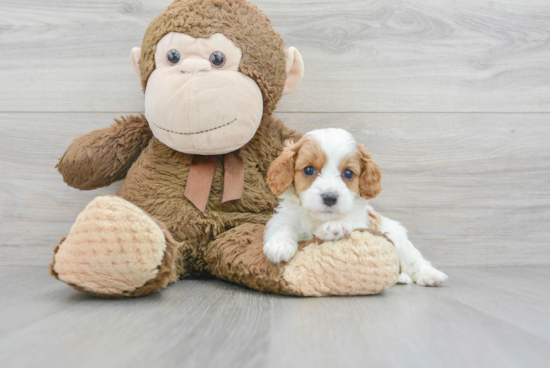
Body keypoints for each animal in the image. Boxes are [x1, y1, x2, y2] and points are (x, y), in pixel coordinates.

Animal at [266, 129, 450, 288]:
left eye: (348, 173)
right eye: (309, 170)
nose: (330, 197)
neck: (319, 219)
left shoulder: (361, 223)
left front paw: (334, 226)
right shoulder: (283, 217)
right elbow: (284, 226)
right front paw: (279, 245)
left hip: (398, 238)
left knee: (414, 259)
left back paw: (431, 275)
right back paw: (401, 278)